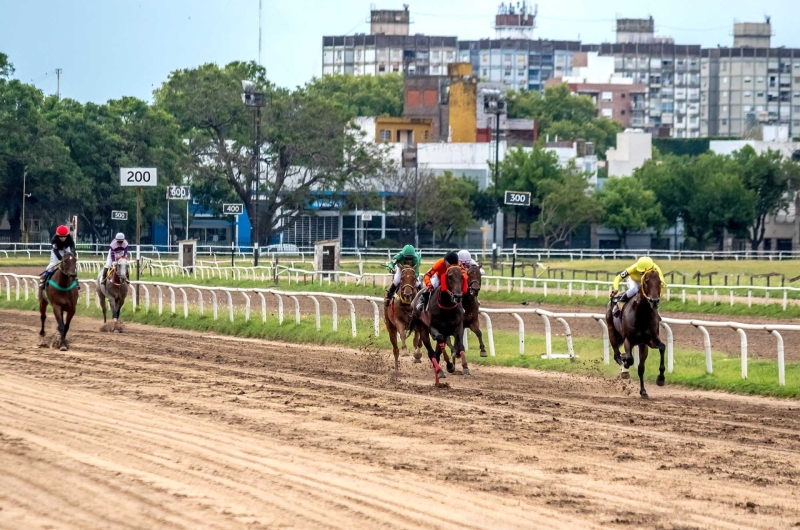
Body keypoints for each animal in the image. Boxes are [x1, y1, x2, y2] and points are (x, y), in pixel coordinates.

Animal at [608, 268, 668, 396]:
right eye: (646, 281)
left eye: (659, 282)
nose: (654, 301)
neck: (642, 314)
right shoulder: (628, 340)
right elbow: (629, 359)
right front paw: (625, 365)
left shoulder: (650, 340)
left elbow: (662, 348)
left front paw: (660, 379)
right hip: (612, 332)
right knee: (617, 355)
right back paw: (624, 366)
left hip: (641, 344)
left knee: (639, 367)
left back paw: (643, 391)